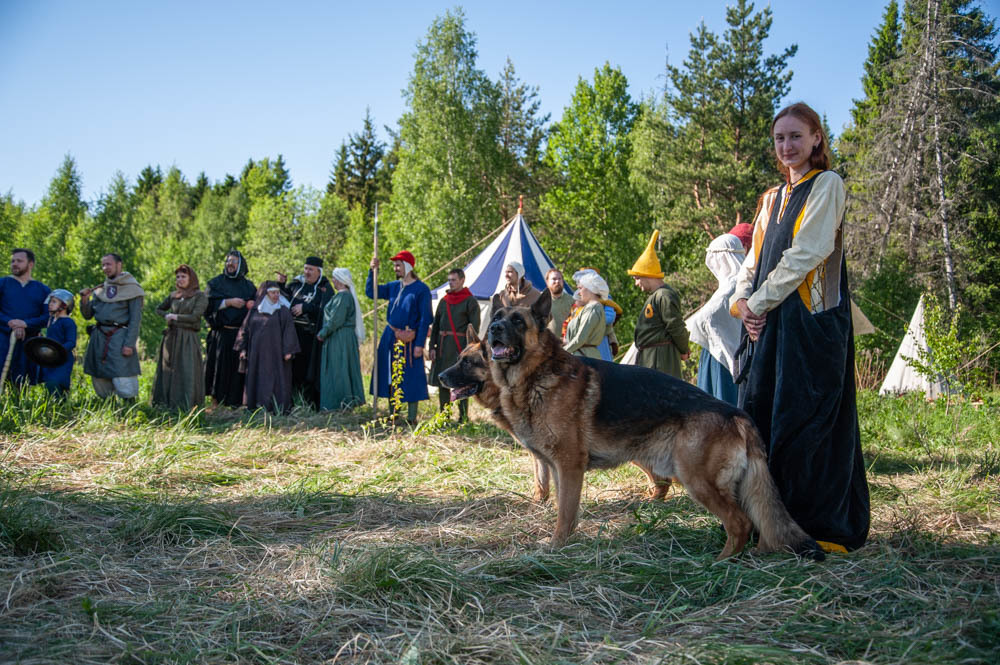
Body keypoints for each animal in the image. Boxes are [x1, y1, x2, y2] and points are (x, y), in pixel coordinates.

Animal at [446, 294, 820, 556]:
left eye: (517, 322)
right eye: (496, 319)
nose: (494, 330)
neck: (536, 376)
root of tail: (737, 415)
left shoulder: (569, 466)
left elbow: (565, 513)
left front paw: (556, 547)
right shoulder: (552, 465)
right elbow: (555, 501)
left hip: (698, 480)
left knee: (740, 522)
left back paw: (719, 563)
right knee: (758, 524)